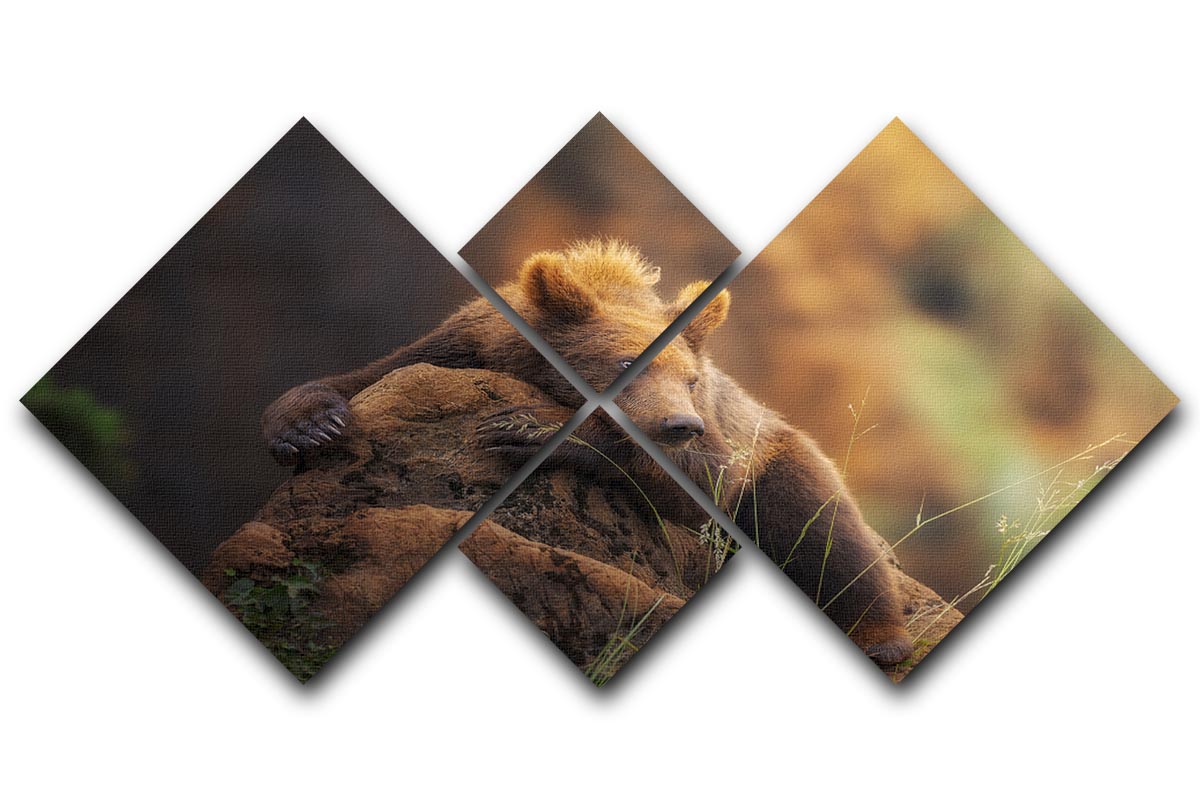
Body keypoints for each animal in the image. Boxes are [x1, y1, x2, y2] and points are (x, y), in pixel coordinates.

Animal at [262, 239, 914, 667]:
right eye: (626, 362)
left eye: (691, 380)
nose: (679, 424)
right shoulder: (459, 347)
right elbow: (365, 377)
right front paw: (308, 425)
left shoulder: (723, 437)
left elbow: (705, 483)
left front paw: (528, 429)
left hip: (782, 452)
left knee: (825, 530)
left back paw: (882, 637)